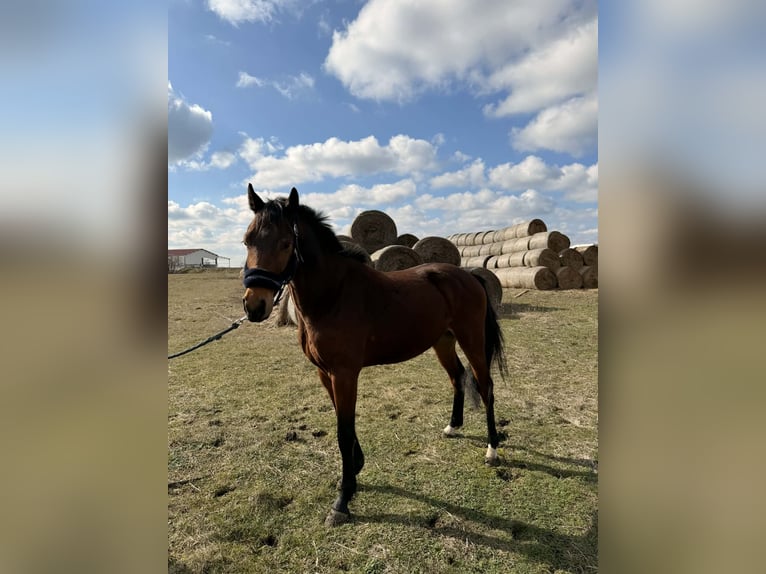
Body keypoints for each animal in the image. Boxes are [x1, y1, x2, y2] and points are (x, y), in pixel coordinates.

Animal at [241, 185, 507, 526]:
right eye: (247, 240)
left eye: (286, 243)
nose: (254, 306)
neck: (333, 295)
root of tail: (469, 276)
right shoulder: (325, 373)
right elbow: (344, 423)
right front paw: (354, 472)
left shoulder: (344, 374)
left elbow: (343, 431)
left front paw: (342, 500)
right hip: (443, 342)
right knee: (457, 378)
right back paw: (453, 427)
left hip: (472, 339)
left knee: (485, 387)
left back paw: (492, 450)